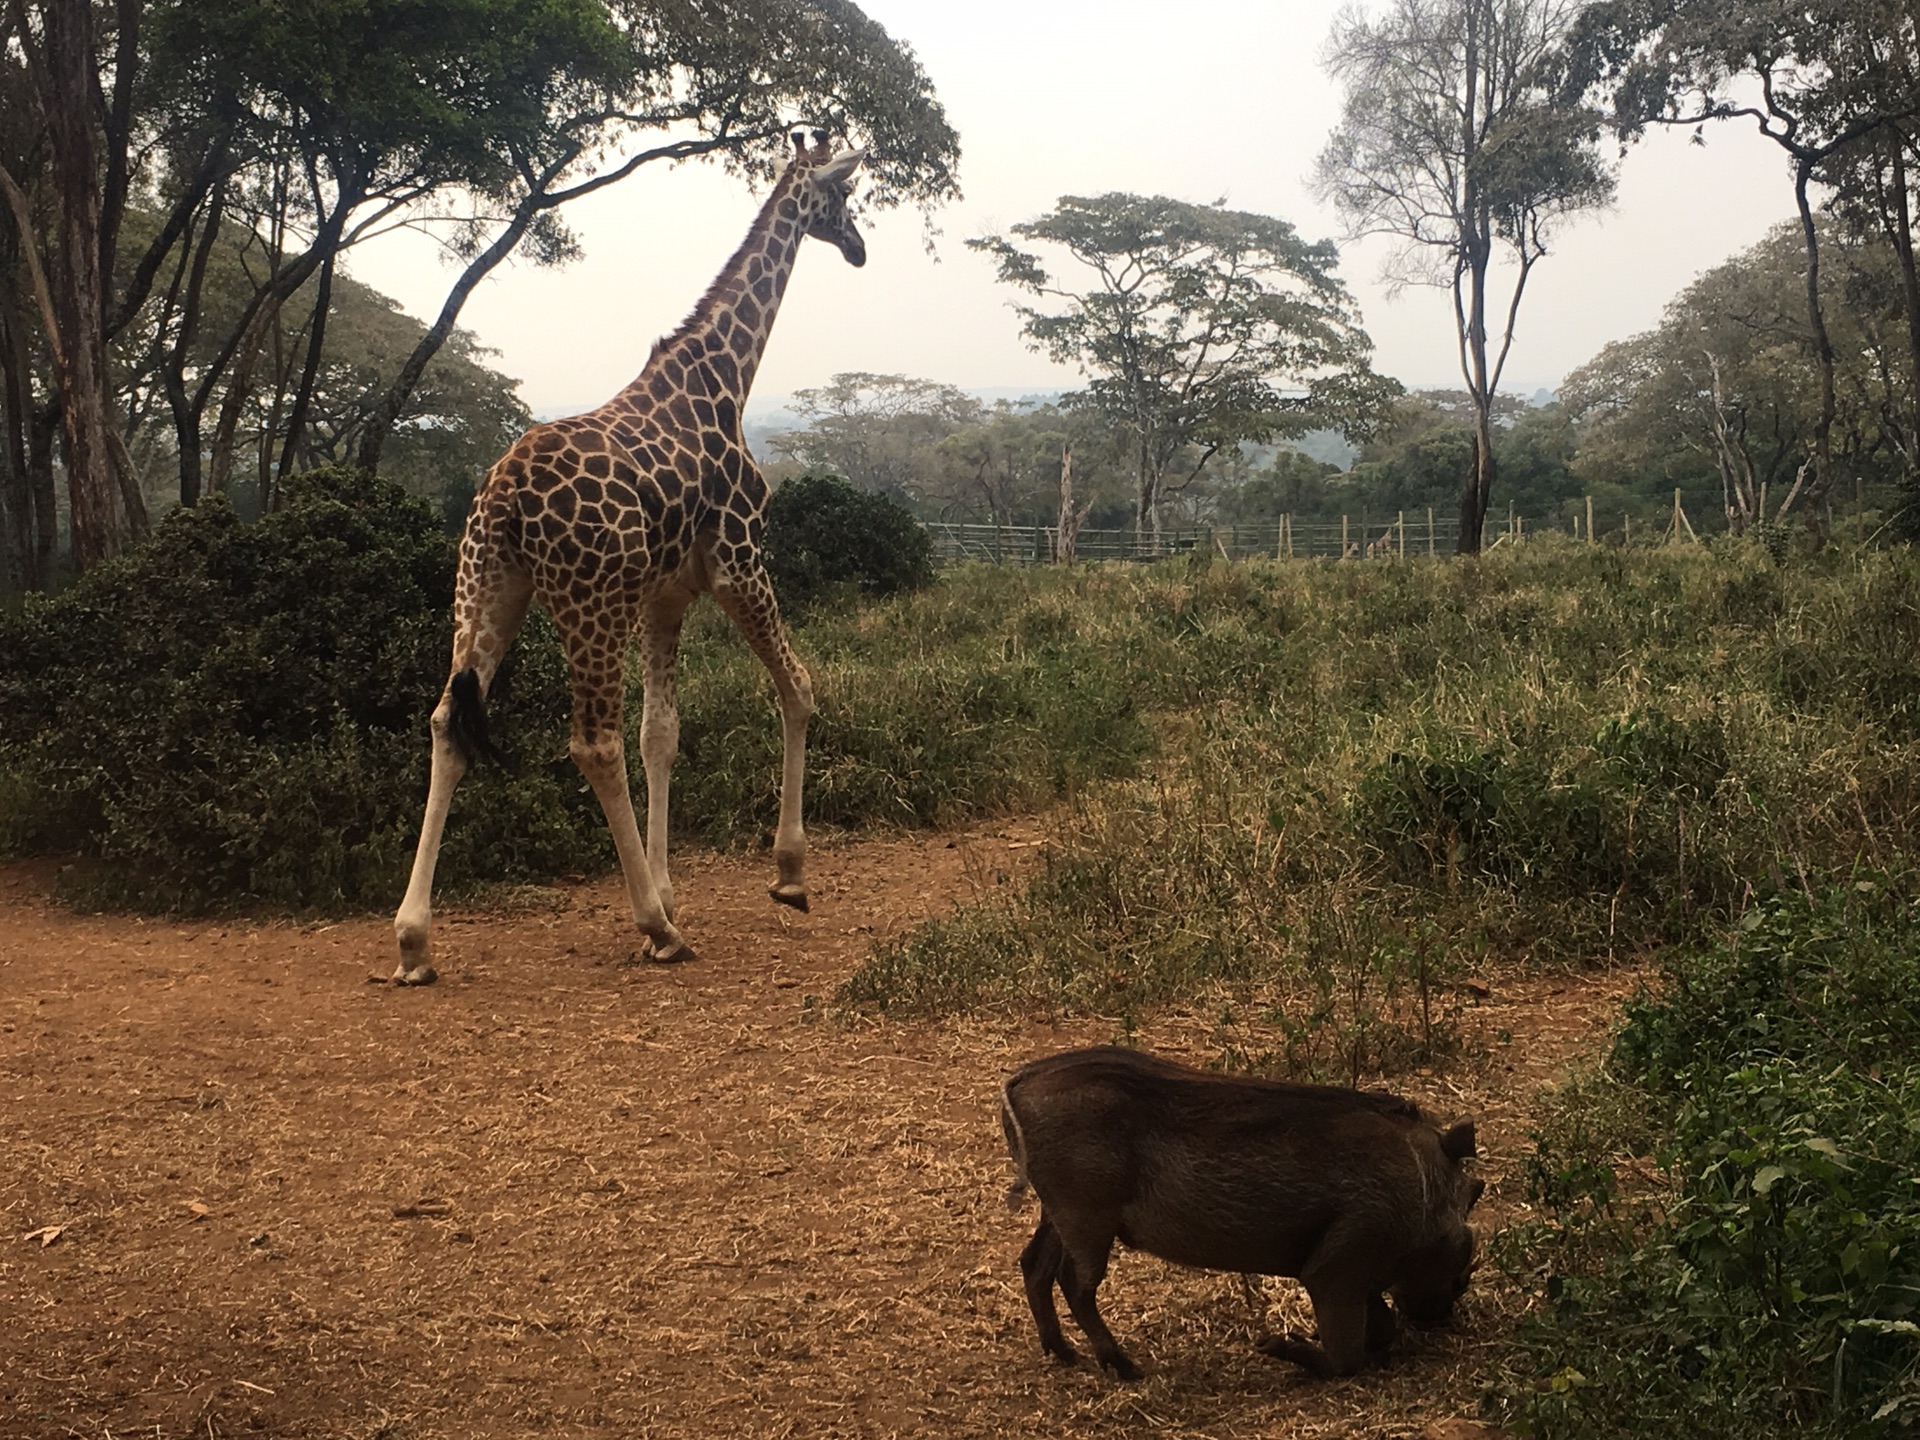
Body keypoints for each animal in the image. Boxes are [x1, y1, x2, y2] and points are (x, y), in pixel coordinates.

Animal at [391, 129, 871, 990]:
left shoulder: (665, 594)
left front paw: (673, 887)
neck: (726, 377)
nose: (857, 248)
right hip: (590, 600)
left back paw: (414, 941)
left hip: (485, 589)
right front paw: (786, 875)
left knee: (448, 722)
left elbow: (663, 733)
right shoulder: (739, 559)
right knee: (591, 742)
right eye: (843, 195)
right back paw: (657, 929)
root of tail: (504, 494)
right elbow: (798, 688)